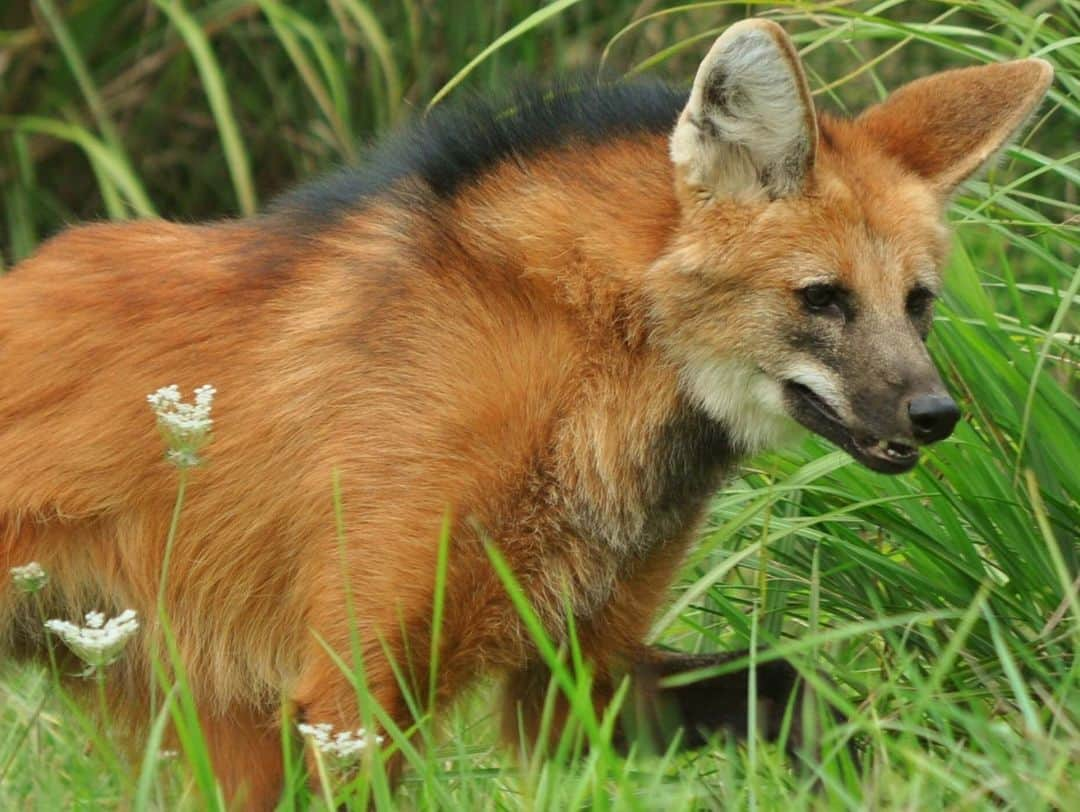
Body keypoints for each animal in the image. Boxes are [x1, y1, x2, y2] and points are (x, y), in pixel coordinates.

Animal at [0, 17, 1049, 807]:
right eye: (823, 298)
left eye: (918, 303)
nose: (935, 413)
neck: (582, 372)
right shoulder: (351, 690)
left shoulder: (575, 675)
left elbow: (792, 687)